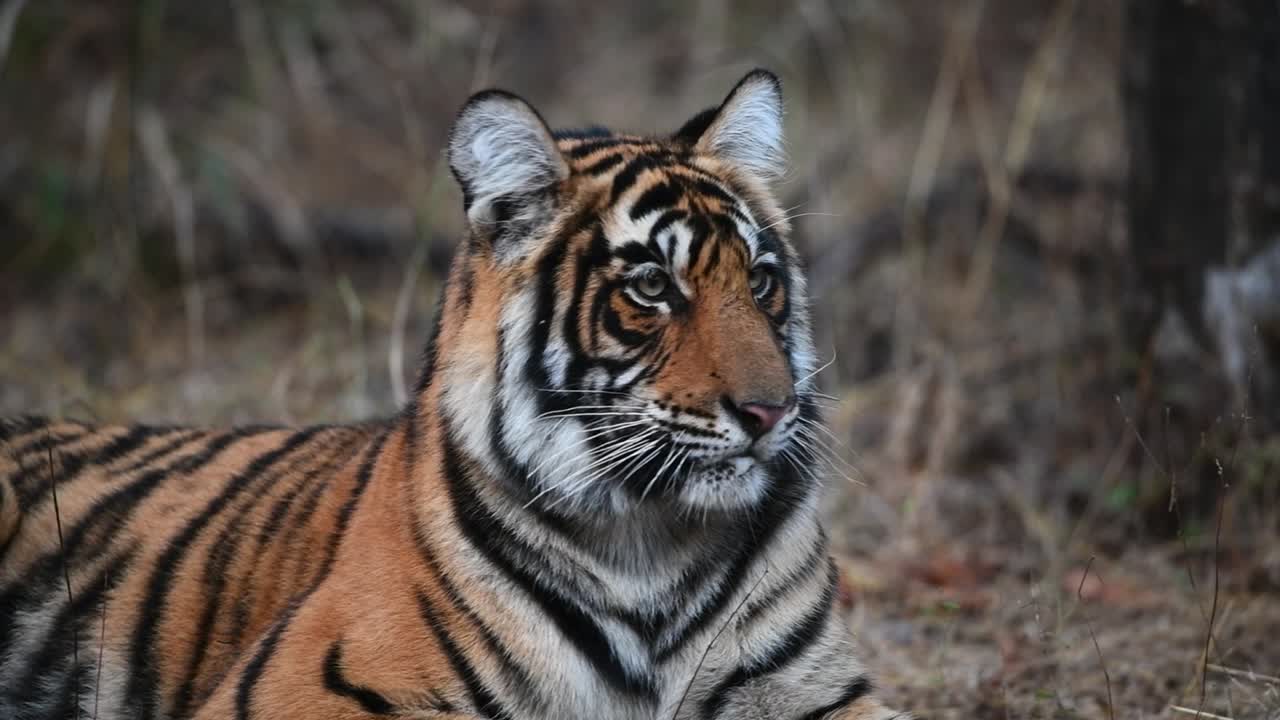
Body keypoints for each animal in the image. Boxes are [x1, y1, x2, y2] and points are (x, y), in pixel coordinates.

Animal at [0, 69, 908, 720]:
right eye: (652, 286)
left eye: (760, 282)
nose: (770, 412)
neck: (652, 546)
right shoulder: (313, 684)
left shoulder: (817, 692)